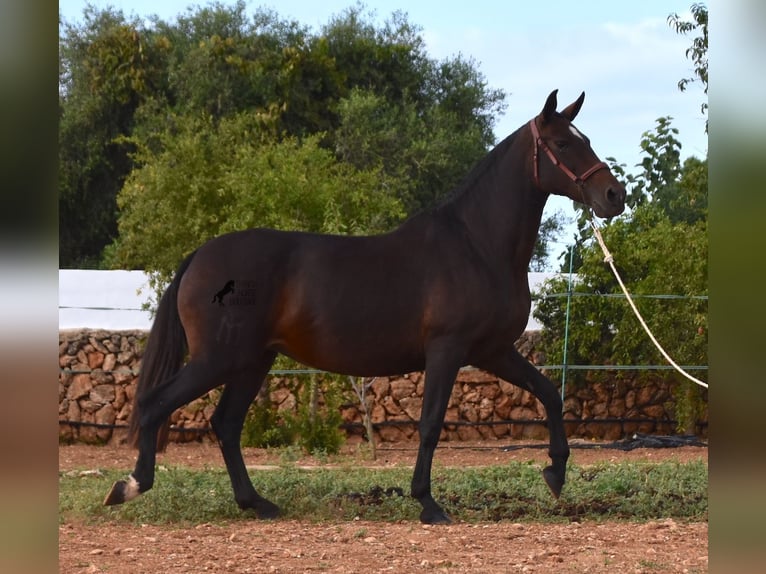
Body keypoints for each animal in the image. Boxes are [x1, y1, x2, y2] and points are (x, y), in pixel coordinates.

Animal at [105, 90, 628, 528]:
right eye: (563, 142)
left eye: (585, 138)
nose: (614, 196)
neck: (476, 245)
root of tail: (200, 256)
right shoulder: (448, 350)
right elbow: (430, 424)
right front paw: (428, 503)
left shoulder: (492, 351)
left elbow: (549, 394)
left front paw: (555, 474)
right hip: (219, 358)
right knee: (157, 405)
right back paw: (129, 486)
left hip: (252, 361)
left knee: (225, 424)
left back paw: (257, 503)